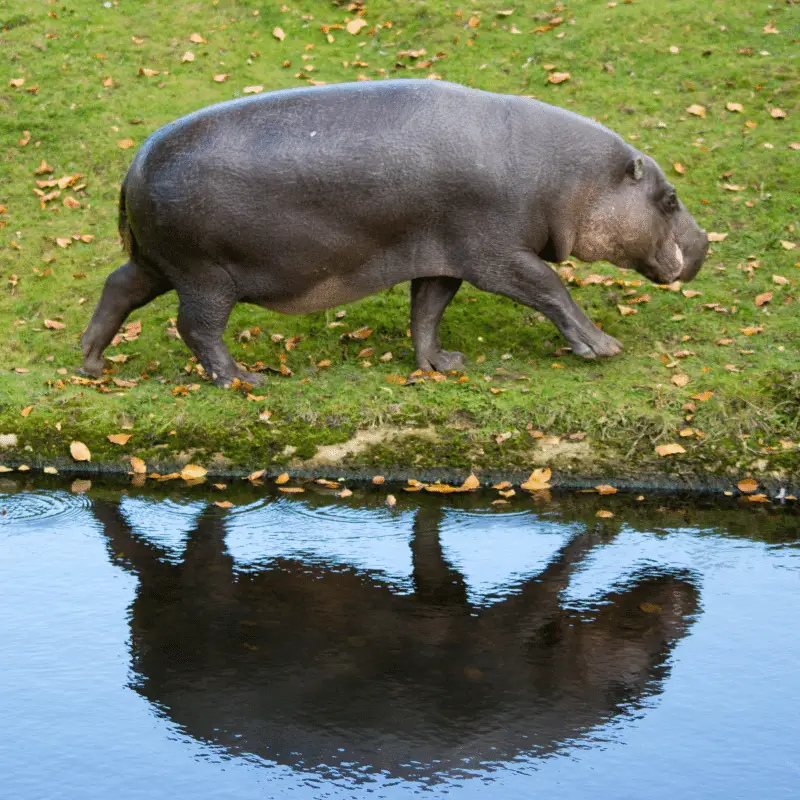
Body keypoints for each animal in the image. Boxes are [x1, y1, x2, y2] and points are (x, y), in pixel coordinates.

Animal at [81, 79, 708, 386]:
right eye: (670, 198)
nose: (704, 244)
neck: (570, 179)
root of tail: (134, 165)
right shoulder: (498, 256)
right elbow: (553, 291)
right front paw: (604, 347)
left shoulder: (442, 256)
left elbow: (427, 311)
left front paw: (443, 365)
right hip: (206, 276)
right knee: (197, 329)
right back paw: (244, 380)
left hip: (162, 264)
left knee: (118, 289)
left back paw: (91, 364)